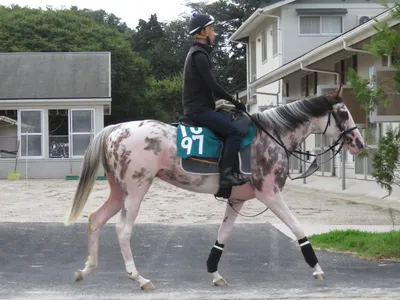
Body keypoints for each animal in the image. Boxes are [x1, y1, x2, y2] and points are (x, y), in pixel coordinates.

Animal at [63, 85, 366, 290]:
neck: (272, 136)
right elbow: (297, 227)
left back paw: (85, 269)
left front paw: (214, 272)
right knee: (123, 230)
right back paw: (139, 278)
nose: (359, 143)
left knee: (96, 219)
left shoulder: (238, 200)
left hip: (119, 191)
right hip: (136, 189)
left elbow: (223, 235)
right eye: (343, 112)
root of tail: (114, 129)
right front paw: (317, 267)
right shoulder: (270, 194)